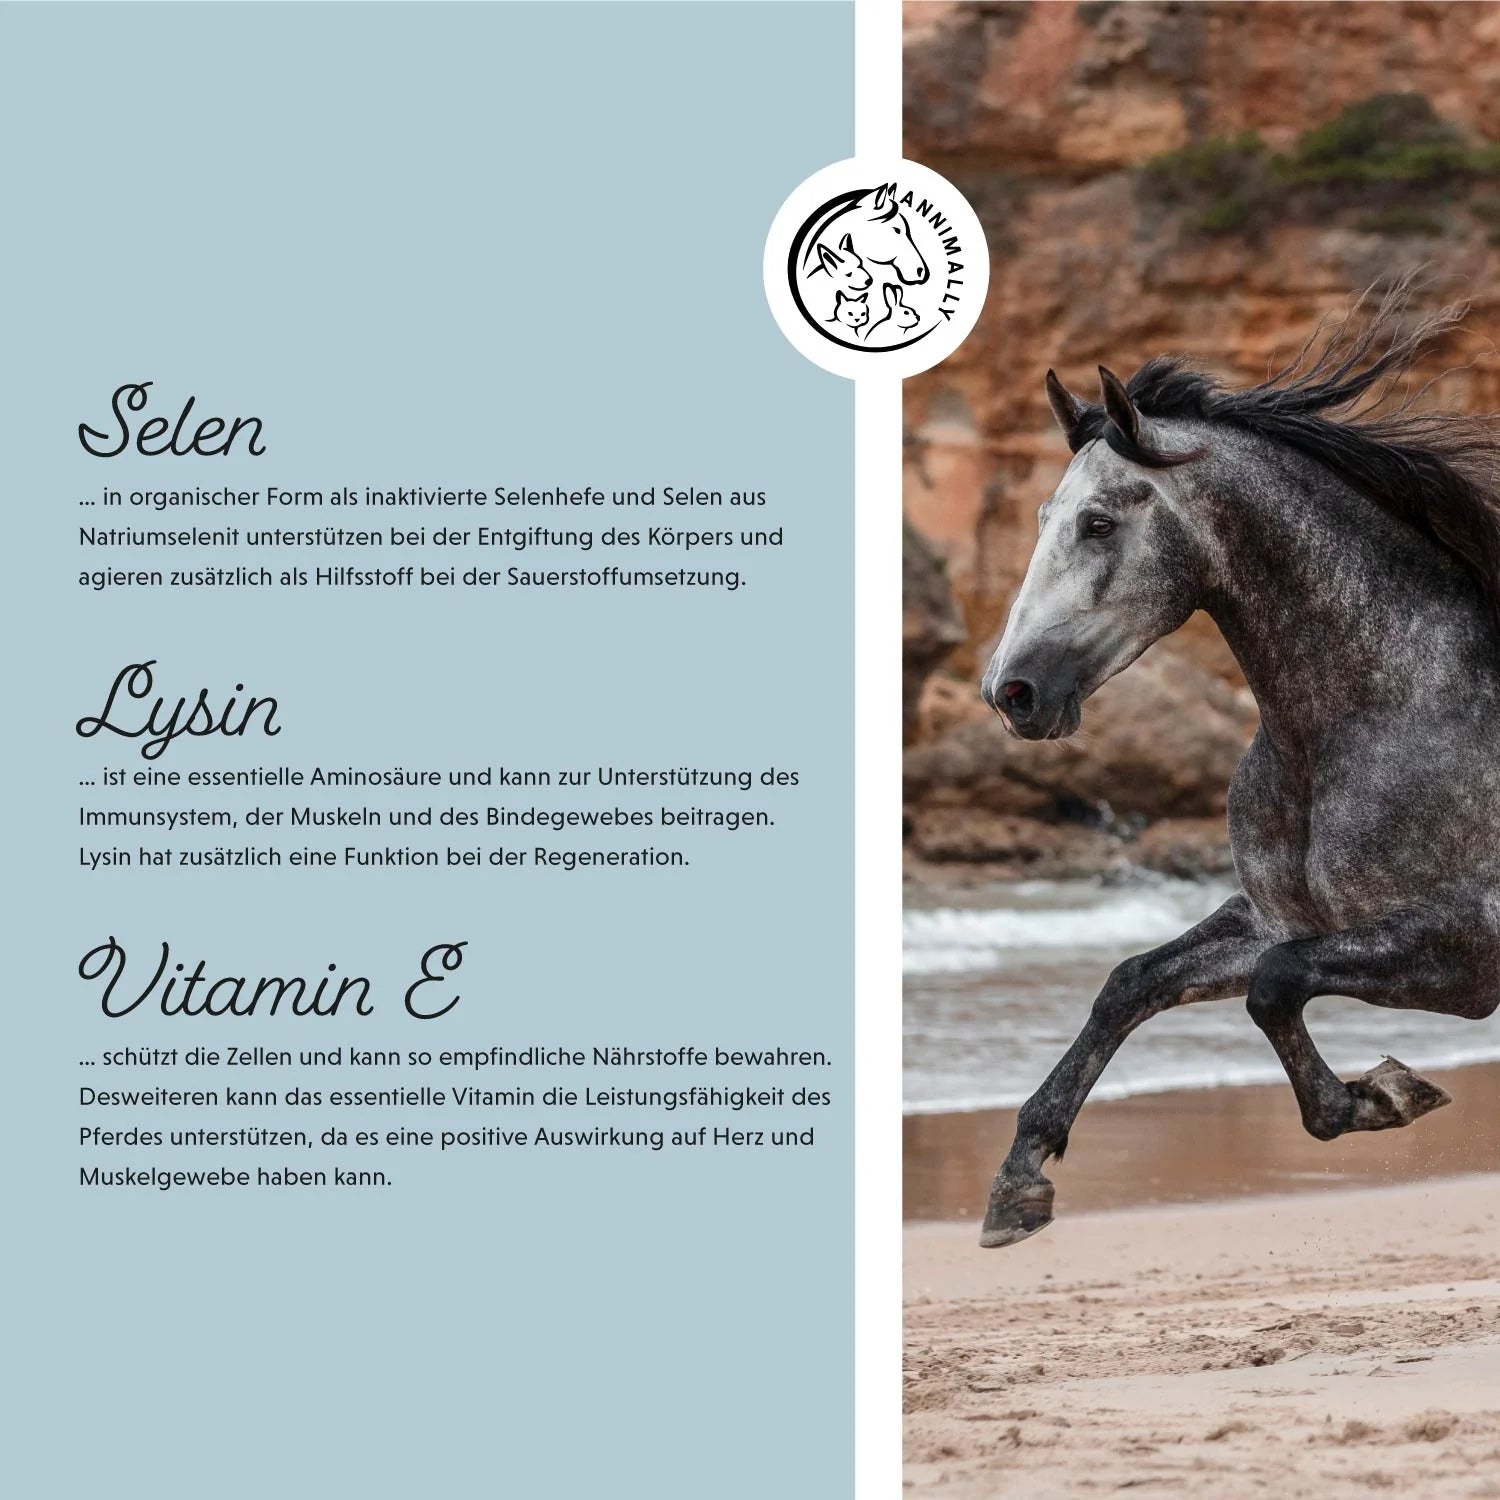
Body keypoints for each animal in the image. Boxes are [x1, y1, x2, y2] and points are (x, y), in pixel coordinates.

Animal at [976, 280, 1500, 1249]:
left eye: (1098, 522)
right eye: (1040, 521)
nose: (1011, 691)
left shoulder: (1470, 946)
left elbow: (1273, 988)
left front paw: (1385, 1095)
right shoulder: (1280, 918)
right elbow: (1132, 983)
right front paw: (1019, 1181)